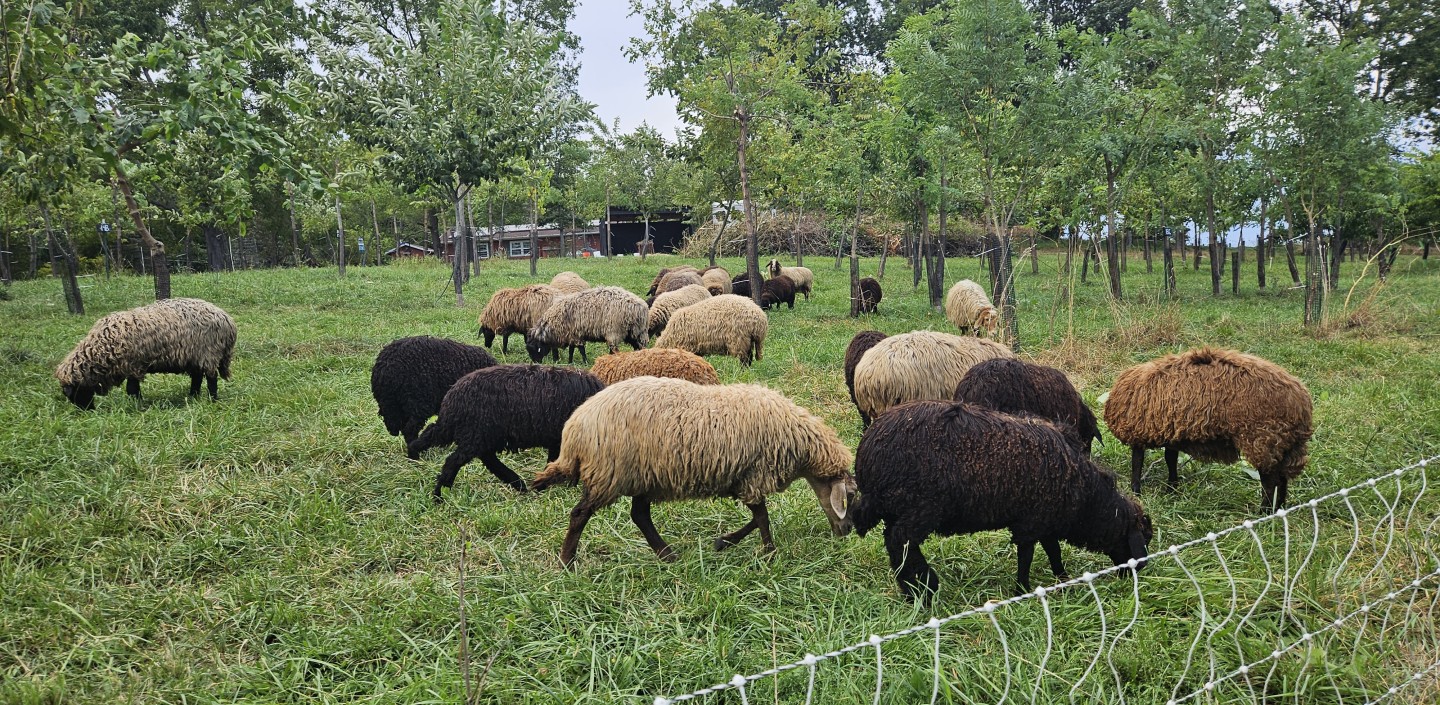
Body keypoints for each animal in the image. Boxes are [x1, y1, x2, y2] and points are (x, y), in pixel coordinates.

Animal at [56, 297, 237, 409]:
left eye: (73, 392)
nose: (87, 412)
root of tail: (226, 319)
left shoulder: (133, 365)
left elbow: (132, 389)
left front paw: (137, 405)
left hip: (208, 353)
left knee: (211, 378)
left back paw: (212, 399)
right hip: (194, 356)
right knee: (197, 377)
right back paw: (192, 397)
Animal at [408, 365, 605, 500]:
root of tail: (453, 396)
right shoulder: (560, 438)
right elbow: (557, 462)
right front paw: (544, 485)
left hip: (478, 433)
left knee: (435, 436)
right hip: (477, 432)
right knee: (455, 460)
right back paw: (440, 494)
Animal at [531, 376, 856, 566]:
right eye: (850, 495)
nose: (847, 532)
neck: (798, 441)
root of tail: (576, 425)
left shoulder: (741, 478)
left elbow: (756, 518)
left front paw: (724, 542)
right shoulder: (754, 476)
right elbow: (762, 518)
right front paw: (769, 552)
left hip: (645, 476)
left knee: (640, 516)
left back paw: (667, 555)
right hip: (609, 473)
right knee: (580, 514)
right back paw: (567, 561)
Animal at [849, 400, 1153, 600]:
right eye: (1139, 539)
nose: (1133, 575)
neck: (1087, 499)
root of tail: (867, 453)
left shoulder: (1045, 517)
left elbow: (1052, 550)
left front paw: (1062, 579)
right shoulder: (1032, 521)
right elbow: (1027, 555)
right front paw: (1022, 590)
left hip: (898, 509)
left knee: (894, 542)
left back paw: (910, 589)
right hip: (919, 507)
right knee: (901, 542)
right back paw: (924, 589)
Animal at [1102, 347, 1313, 510]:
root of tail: (1301, 401)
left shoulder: (1139, 432)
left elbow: (1137, 464)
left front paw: (1136, 492)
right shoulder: (1173, 431)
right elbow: (1170, 459)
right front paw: (1172, 488)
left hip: (1263, 439)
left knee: (1270, 481)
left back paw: (1264, 512)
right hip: (1282, 445)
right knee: (1281, 479)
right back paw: (1278, 509)